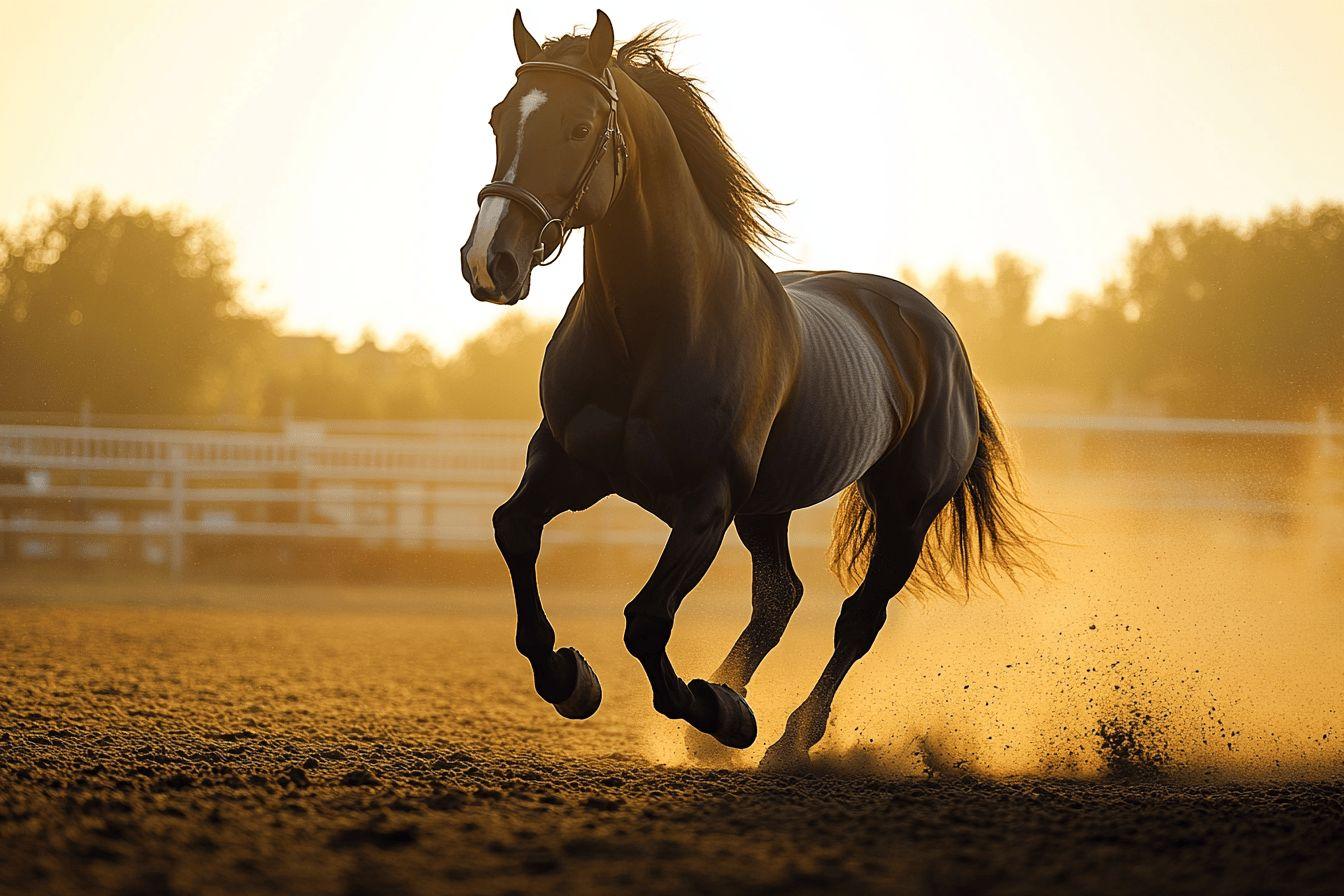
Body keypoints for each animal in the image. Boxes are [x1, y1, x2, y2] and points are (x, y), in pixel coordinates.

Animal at [459, 10, 1044, 769]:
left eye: (580, 127)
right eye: (498, 118)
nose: (489, 261)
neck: (651, 330)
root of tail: (937, 332)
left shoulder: (705, 503)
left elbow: (646, 621)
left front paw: (722, 714)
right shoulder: (569, 468)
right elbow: (514, 531)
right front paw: (571, 679)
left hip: (907, 511)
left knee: (857, 620)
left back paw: (787, 738)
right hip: (770, 508)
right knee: (780, 598)